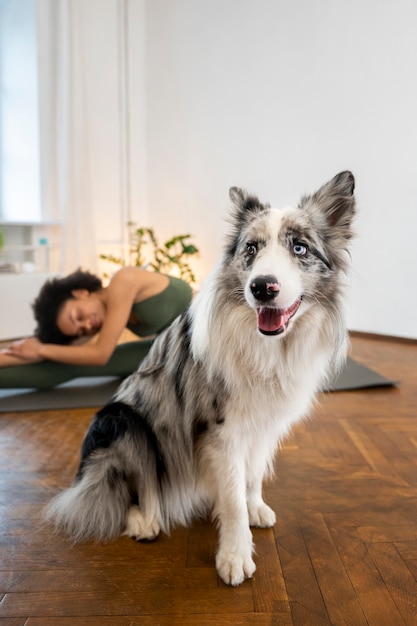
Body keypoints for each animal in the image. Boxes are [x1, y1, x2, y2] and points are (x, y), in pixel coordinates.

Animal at [47, 171, 356, 584]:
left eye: (300, 248)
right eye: (251, 248)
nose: (262, 287)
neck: (269, 347)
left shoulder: (263, 424)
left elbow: (253, 475)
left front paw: (254, 505)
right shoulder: (222, 429)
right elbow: (233, 501)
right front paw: (235, 555)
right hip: (122, 421)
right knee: (124, 490)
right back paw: (144, 520)